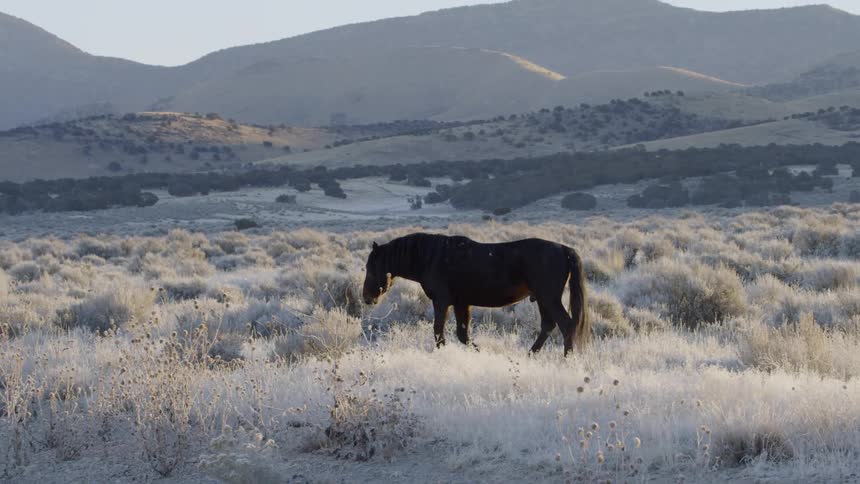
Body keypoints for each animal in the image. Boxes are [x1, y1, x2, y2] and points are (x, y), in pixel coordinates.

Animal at [361, 233, 590, 356]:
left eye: (371, 268)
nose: (366, 297)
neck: (430, 257)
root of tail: (565, 249)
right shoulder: (461, 303)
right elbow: (463, 335)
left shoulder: (442, 302)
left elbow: (439, 332)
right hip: (543, 299)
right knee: (549, 326)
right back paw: (530, 355)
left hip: (548, 298)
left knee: (566, 325)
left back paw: (567, 360)